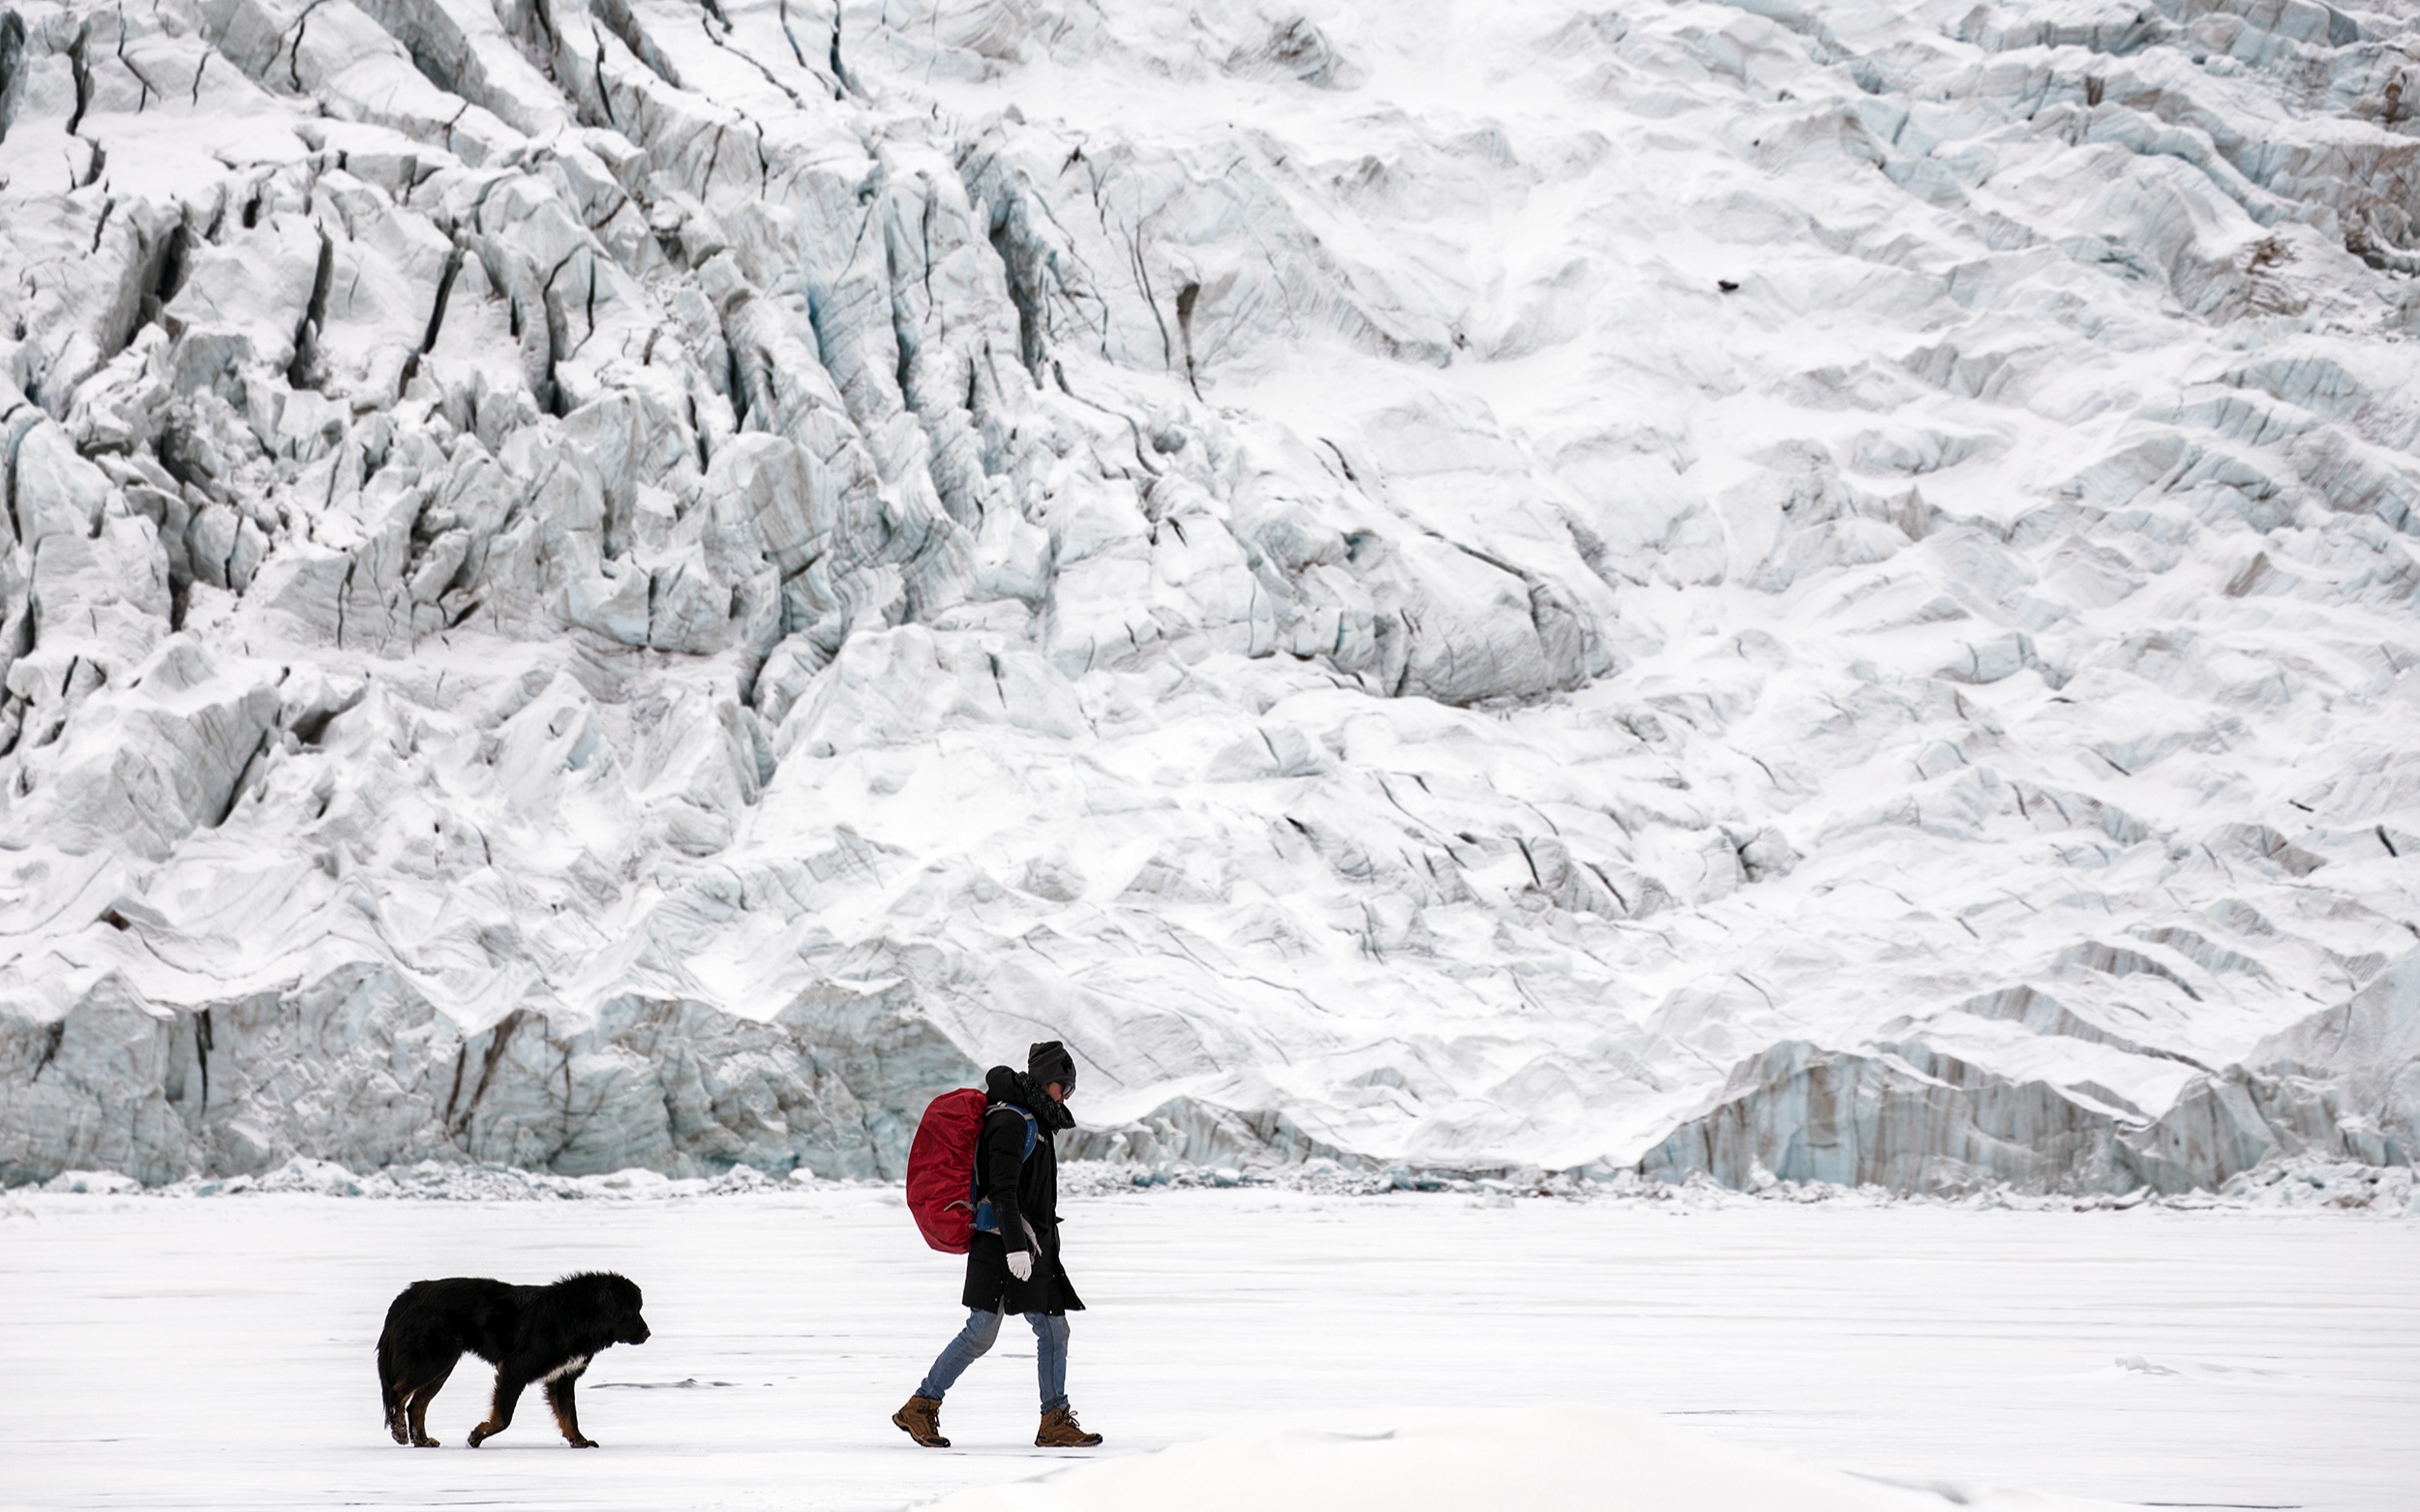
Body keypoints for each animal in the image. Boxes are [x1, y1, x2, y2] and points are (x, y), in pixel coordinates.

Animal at [375, 1267, 649, 1441]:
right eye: (631, 1311)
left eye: (638, 1309)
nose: (648, 1333)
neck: (576, 1317)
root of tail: (408, 1294)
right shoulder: (515, 1369)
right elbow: (503, 1418)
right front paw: (477, 1435)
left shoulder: (562, 1378)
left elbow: (569, 1417)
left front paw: (579, 1442)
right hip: (434, 1360)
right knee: (398, 1393)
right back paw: (400, 1433)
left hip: (442, 1367)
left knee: (416, 1405)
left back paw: (422, 1440)